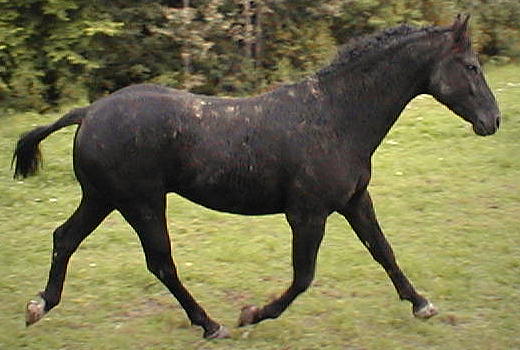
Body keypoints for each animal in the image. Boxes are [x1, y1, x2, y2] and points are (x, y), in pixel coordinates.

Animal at [12, 15, 500, 340]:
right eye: (471, 67)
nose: (493, 121)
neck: (334, 116)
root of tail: (88, 112)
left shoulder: (354, 201)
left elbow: (383, 251)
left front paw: (422, 304)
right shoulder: (308, 214)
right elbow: (303, 277)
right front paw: (251, 314)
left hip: (103, 198)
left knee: (64, 238)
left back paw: (39, 305)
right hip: (141, 203)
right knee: (160, 262)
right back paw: (211, 324)